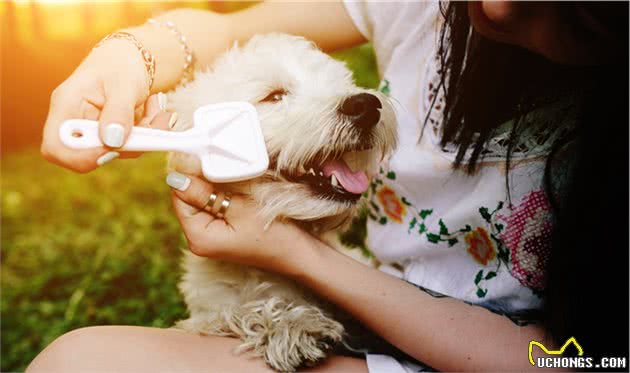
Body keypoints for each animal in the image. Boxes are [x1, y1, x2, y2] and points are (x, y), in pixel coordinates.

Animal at [165, 33, 398, 370]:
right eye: (274, 96)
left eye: (340, 82)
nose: (366, 105)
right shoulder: (209, 309)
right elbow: (229, 314)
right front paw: (290, 325)